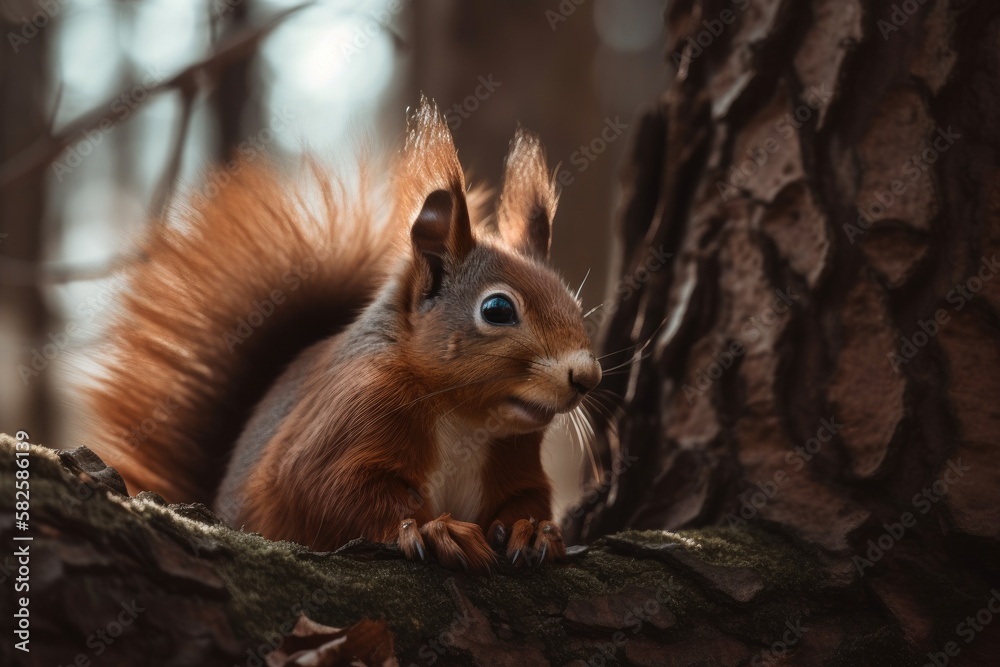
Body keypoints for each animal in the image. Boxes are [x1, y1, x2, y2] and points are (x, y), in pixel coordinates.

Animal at [85, 98, 602, 572]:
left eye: (577, 308)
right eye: (497, 309)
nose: (587, 376)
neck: (466, 419)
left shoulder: (516, 459)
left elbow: (526, 498)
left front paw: (530, 529)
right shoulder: (350, 413)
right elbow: (330, 490)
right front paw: (435, 530)